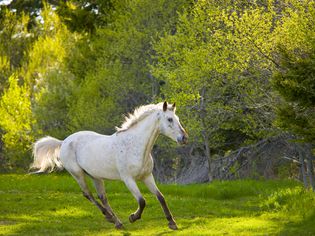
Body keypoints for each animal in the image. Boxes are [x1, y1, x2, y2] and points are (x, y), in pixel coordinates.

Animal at [29, 102, 188, 230]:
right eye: (169, 119)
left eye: (178, 119)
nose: (184, 138)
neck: (135, 145)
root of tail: (63, 142)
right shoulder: (128, 179)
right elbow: (142, 201)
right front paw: (133, 217)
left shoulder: (147, 176)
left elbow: (161, 197)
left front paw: (172, 223)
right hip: (78, 174)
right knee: (88, 194)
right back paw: (109, 217)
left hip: (96, 176)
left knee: (102, 197)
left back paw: (117, 222)